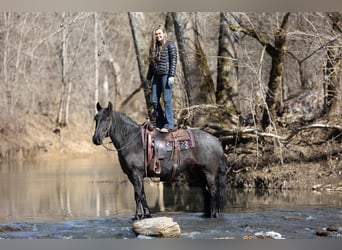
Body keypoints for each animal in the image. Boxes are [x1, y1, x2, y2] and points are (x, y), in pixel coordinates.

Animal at [92, 101, 228, 219]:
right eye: (96, 118)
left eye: (107, 118)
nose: (96, 139)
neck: (131, 140)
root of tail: (216, 140)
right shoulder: (134, 176)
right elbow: (142, 195)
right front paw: (147, 215)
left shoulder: (136, 174)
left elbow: (137, 195)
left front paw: (137, 216)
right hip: (198, 172)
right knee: (206, 191)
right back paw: (207, 214)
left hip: (209, 172)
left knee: (213, 191)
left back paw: (213, 214)